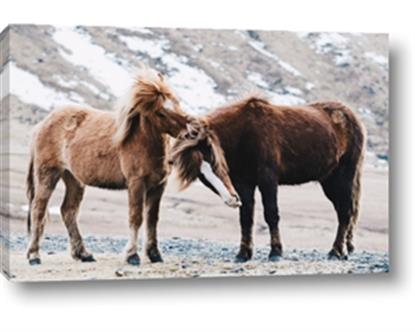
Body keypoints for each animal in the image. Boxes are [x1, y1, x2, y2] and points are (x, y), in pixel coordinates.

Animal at [26, 68, 240, 266]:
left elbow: (152, 219)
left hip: (73, 179)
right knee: (38, 209)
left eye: (177, 102)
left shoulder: (158, 186)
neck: (141, 140)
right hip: (48, 174)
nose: (193, 131)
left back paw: (84, 254)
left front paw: (154, 255)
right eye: (161, 112)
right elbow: (136, 217)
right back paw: (34, 256)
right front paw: (132, 256)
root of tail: (43, 123)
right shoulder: (136, 183)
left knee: (68, 211)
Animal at [171, 96, 366, 262]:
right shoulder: (244, 184)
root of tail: (352, 117)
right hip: (329, 181)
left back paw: (335, 251)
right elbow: (246, 218)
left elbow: (271, 214)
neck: (244, 132)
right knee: (343, 211)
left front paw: (276, 252)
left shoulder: (268, 179)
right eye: (201, 175)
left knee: (345, 212)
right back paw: (344, 250)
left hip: (343, 177)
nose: (232, 200)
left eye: (214, 161)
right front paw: (243, 254)